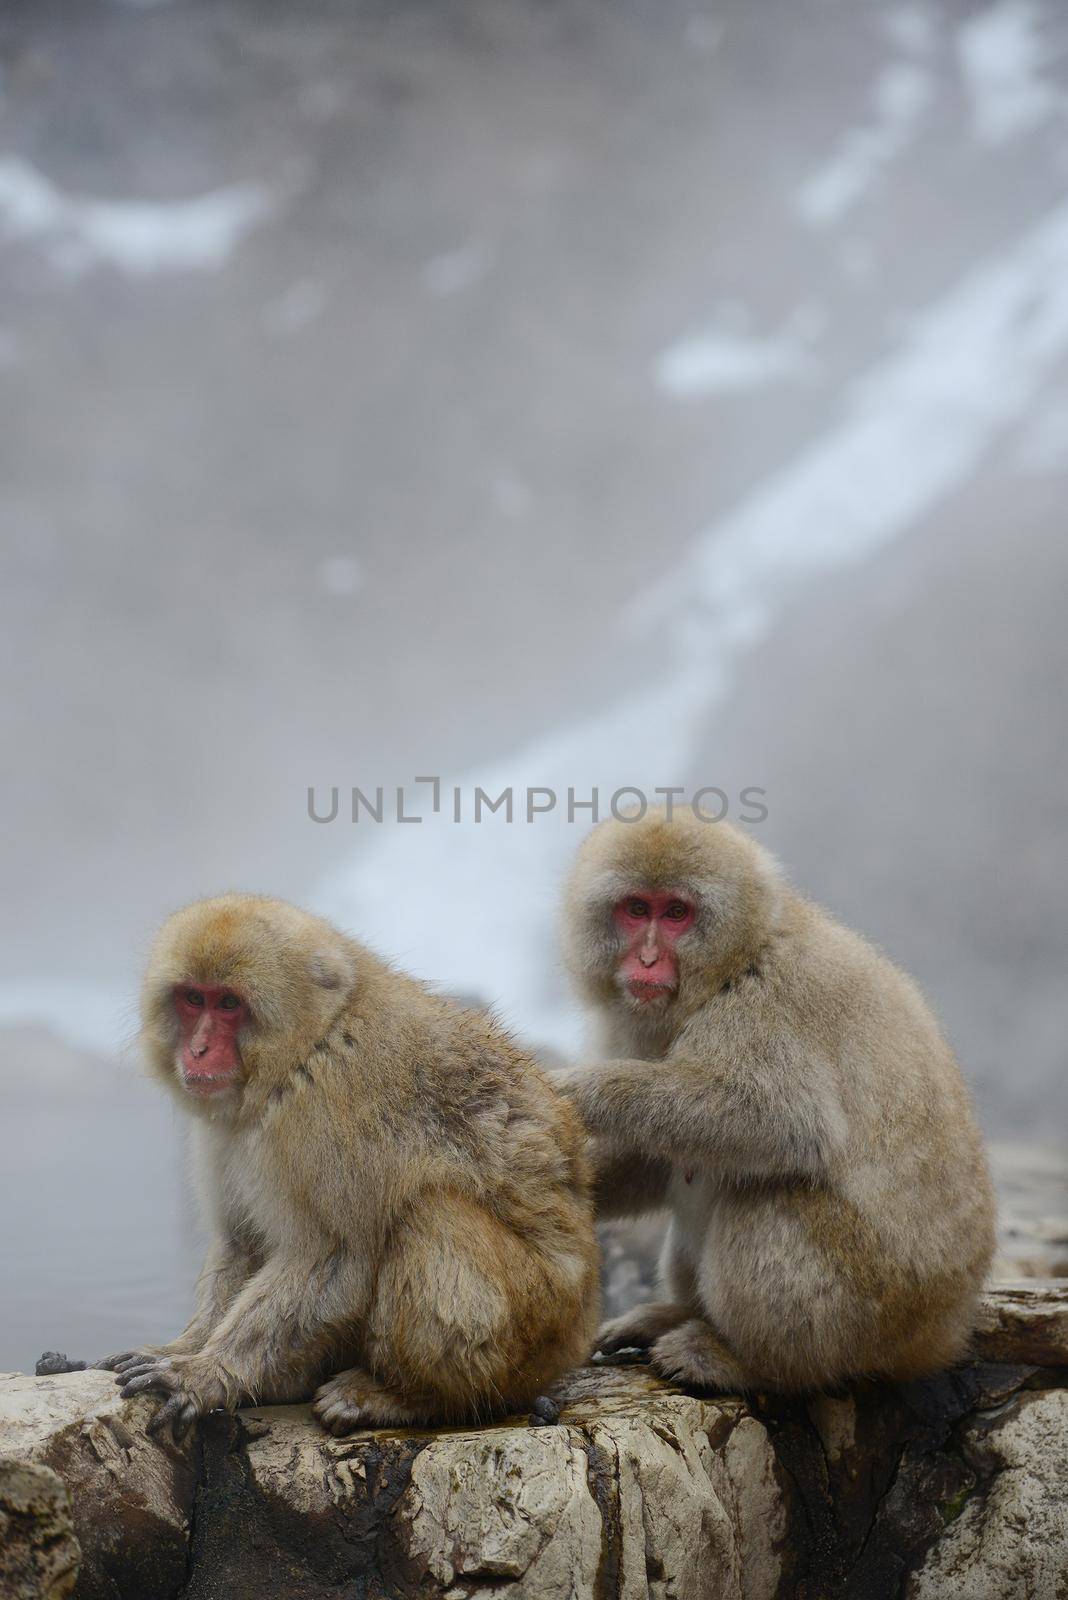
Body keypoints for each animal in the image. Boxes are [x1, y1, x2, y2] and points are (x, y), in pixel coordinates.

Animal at [103, 902, 597, 1440]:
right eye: (194, 999)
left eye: (229, 1004)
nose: (196, 1051)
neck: (309, 1045)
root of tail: (578, 1329)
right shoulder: (225, 1131)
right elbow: (241, 1242)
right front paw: (183, 1348)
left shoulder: (327, 1108)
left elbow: (336, 1254)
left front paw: (205, 1374)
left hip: (532, 1331)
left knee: (432, 1209)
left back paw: (408, 1397)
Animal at [559, 819, 991, 1395]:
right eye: (635, 908)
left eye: (676, 913)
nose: (646, 960)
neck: (729, 968)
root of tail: (944, 1332)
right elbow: (658, 1155)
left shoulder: (768, 1000)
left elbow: (780, 1123)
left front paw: (587, 1090)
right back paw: (676, 1316)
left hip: (874, 1311)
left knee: (768, 1195)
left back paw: (743, 1360)